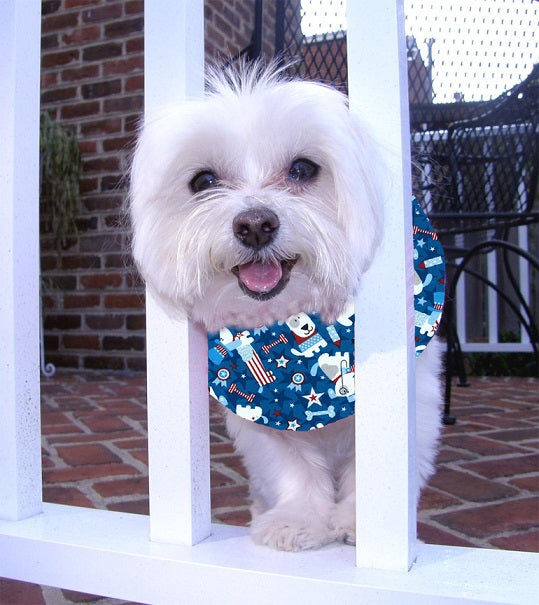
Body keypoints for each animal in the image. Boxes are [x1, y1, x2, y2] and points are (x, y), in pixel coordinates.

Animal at [130, 61, 442, 552]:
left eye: (302, 168)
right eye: (203, 181)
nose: (255, 224)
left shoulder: (416, 399)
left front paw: (359, 523)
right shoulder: (262, 418)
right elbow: (291, 468)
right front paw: (298, 520)